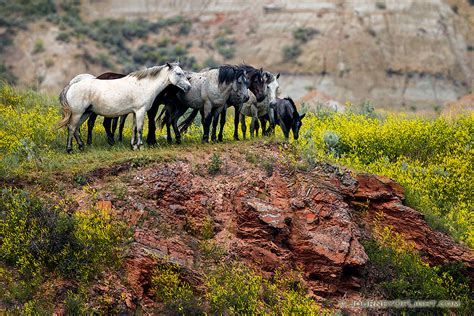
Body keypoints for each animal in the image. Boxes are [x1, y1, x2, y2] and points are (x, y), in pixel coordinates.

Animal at [58, 62, 192, 152]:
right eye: (178, 73)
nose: (189, 87)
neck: (144, 85)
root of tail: (71, 86)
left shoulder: (134, 112)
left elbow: (134, 128)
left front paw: (133, 146)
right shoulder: (140, 111)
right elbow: (140, 128)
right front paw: (140, 146)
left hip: (85, 113)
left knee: (76, 128)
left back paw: (81, 146)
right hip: (78, 113)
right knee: (71, 128)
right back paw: (69, 149)